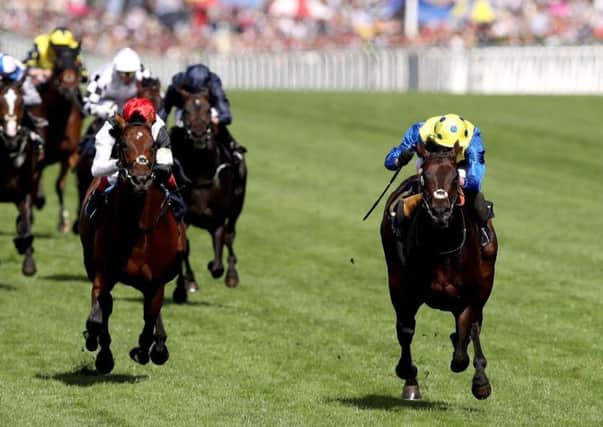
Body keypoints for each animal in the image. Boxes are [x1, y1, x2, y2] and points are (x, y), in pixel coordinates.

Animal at [31, 46, 84, 232]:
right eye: (58, 64)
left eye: (78, 64)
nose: (67, 88)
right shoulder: (38, 157)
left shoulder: (69, 154)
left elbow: (60, 185)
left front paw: (65, 222)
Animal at [79, 111, 186, 374]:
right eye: (124, 145)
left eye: (153, 146)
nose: (140, 179)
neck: (136, 229)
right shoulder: (102, 272)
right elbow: (98, 315)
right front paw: (98, 347)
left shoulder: (156, 282)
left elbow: (149, 318)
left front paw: (145, 350)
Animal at [169, 87, 247, 302]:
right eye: (186, 110)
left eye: (207, 109)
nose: (198, 134)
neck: (201, 173)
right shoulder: (184, 217)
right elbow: (183, 247)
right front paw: (184, 286)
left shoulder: (217, 219)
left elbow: (218, 263)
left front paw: (216, 267)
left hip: (237, 207)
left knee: (231, 234)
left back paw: (232, 276)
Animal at [380, 143, 498, 402]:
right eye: (425, 177)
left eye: (455, 178)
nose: (440, 212)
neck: (442, 246)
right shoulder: (404, 291)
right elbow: (405, 330)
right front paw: (408, 376)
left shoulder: (469, 298)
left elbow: (463, 348)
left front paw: (479, 382)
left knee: (474, 329)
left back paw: (481, 380)